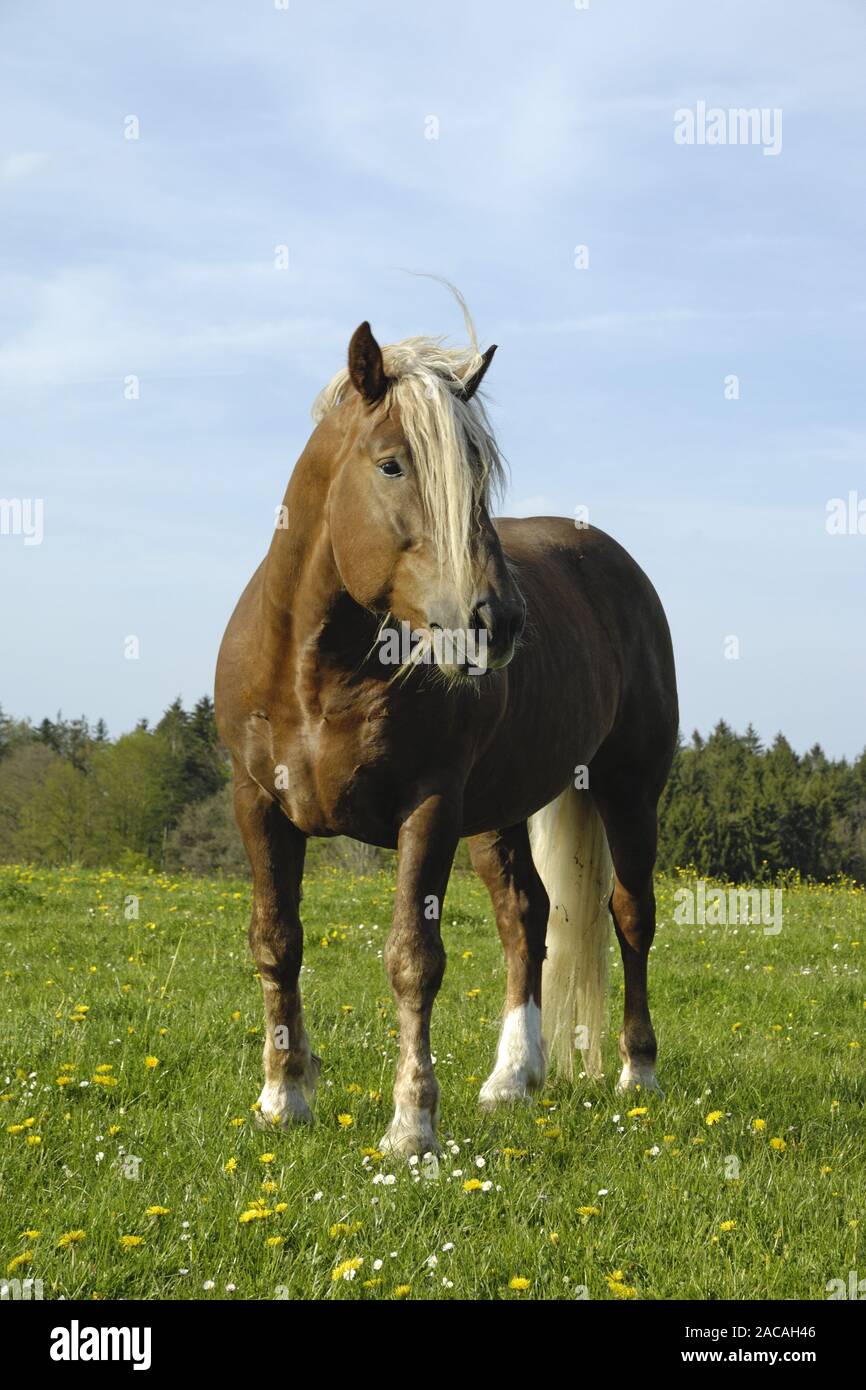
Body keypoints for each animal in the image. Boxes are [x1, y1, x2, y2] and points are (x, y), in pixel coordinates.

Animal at [215, 302, 678, 1158]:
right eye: (392, 465)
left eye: (479, 473)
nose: (498, 622)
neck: (315, 672)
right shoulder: (258, 805)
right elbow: (276, 941)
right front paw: (283, 1097)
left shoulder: (427, 810)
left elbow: (413, 960)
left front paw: (412, 1126)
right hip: (500, 812)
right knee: (527, 917)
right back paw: (512, 1078)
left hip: (629, 792)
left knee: (631, 916)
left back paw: (638, 1073)